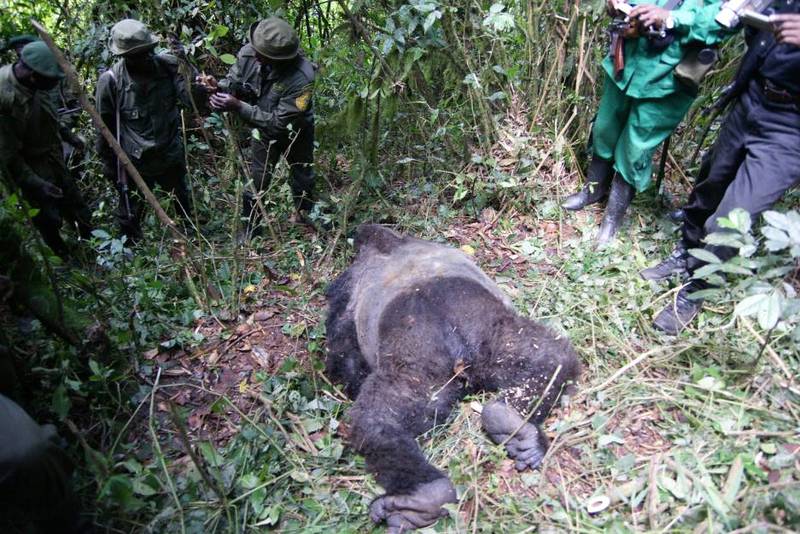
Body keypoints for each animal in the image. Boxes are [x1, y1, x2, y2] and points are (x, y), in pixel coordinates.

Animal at [324, 227, 580, 534]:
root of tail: (460, 348)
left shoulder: (346, 287)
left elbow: (342, 352)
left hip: (415, 372)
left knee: (374, 422)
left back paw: (423, 497)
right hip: (496, 338)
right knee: (551, 356)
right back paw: (513, 426)